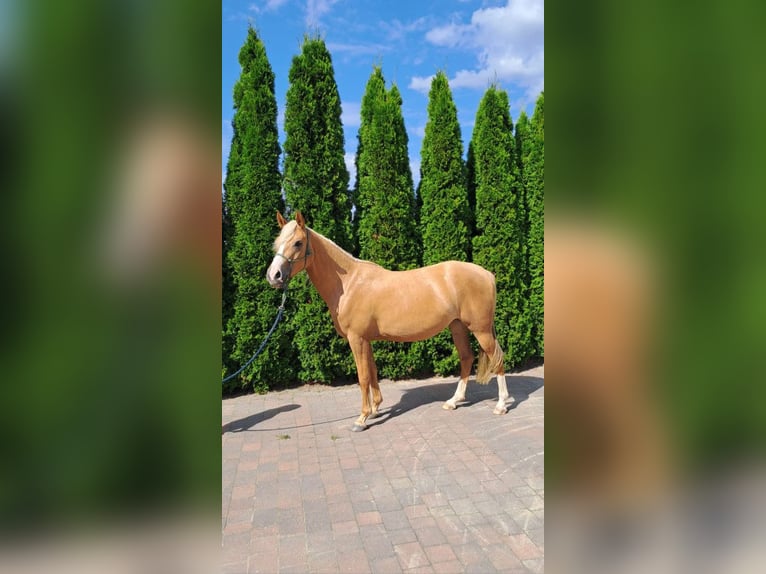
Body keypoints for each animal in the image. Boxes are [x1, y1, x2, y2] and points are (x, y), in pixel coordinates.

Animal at [267, 211, 509, 431]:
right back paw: (453, 401)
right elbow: (373, 372)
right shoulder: (366, 340)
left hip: (481, 330)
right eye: (277, 243)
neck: (349, 283)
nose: (274, 276)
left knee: (497, 359)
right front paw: (375, 409)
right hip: (457, 326)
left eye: (298, 242)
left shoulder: (357, 339)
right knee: (466, 358)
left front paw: (361, 419)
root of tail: (487, 274)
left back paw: (501, 405)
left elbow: (363, 376)